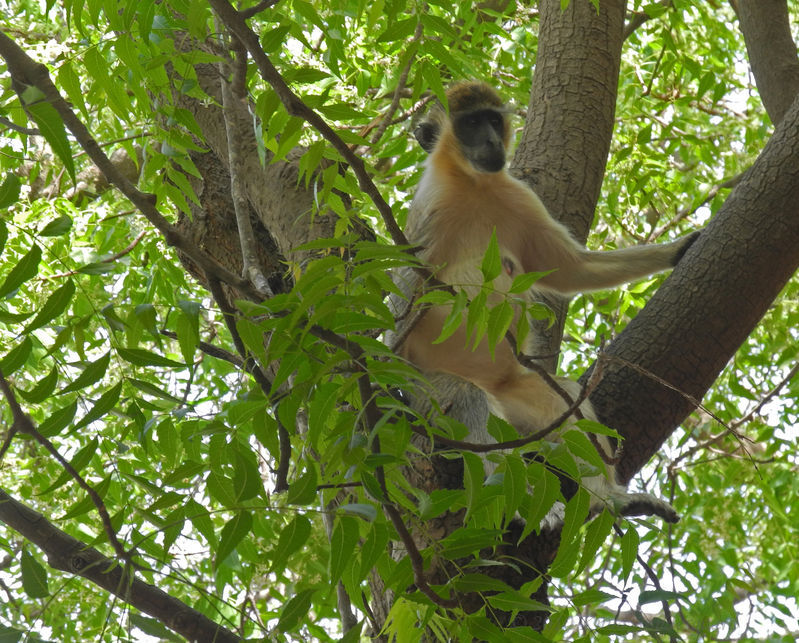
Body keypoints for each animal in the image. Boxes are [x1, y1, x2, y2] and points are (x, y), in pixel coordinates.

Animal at [396, 80, 700, 524]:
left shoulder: (518, 197)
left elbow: (571, 270)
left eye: (492, 120)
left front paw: (680, 250)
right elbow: (400, 301)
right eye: (469, 124)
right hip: (432, 385)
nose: (491, 141)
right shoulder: (429, 213)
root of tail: (493, 383)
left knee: (566, 400)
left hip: (518, 391)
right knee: (467, 398)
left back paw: (610, 498)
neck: (472, 185)